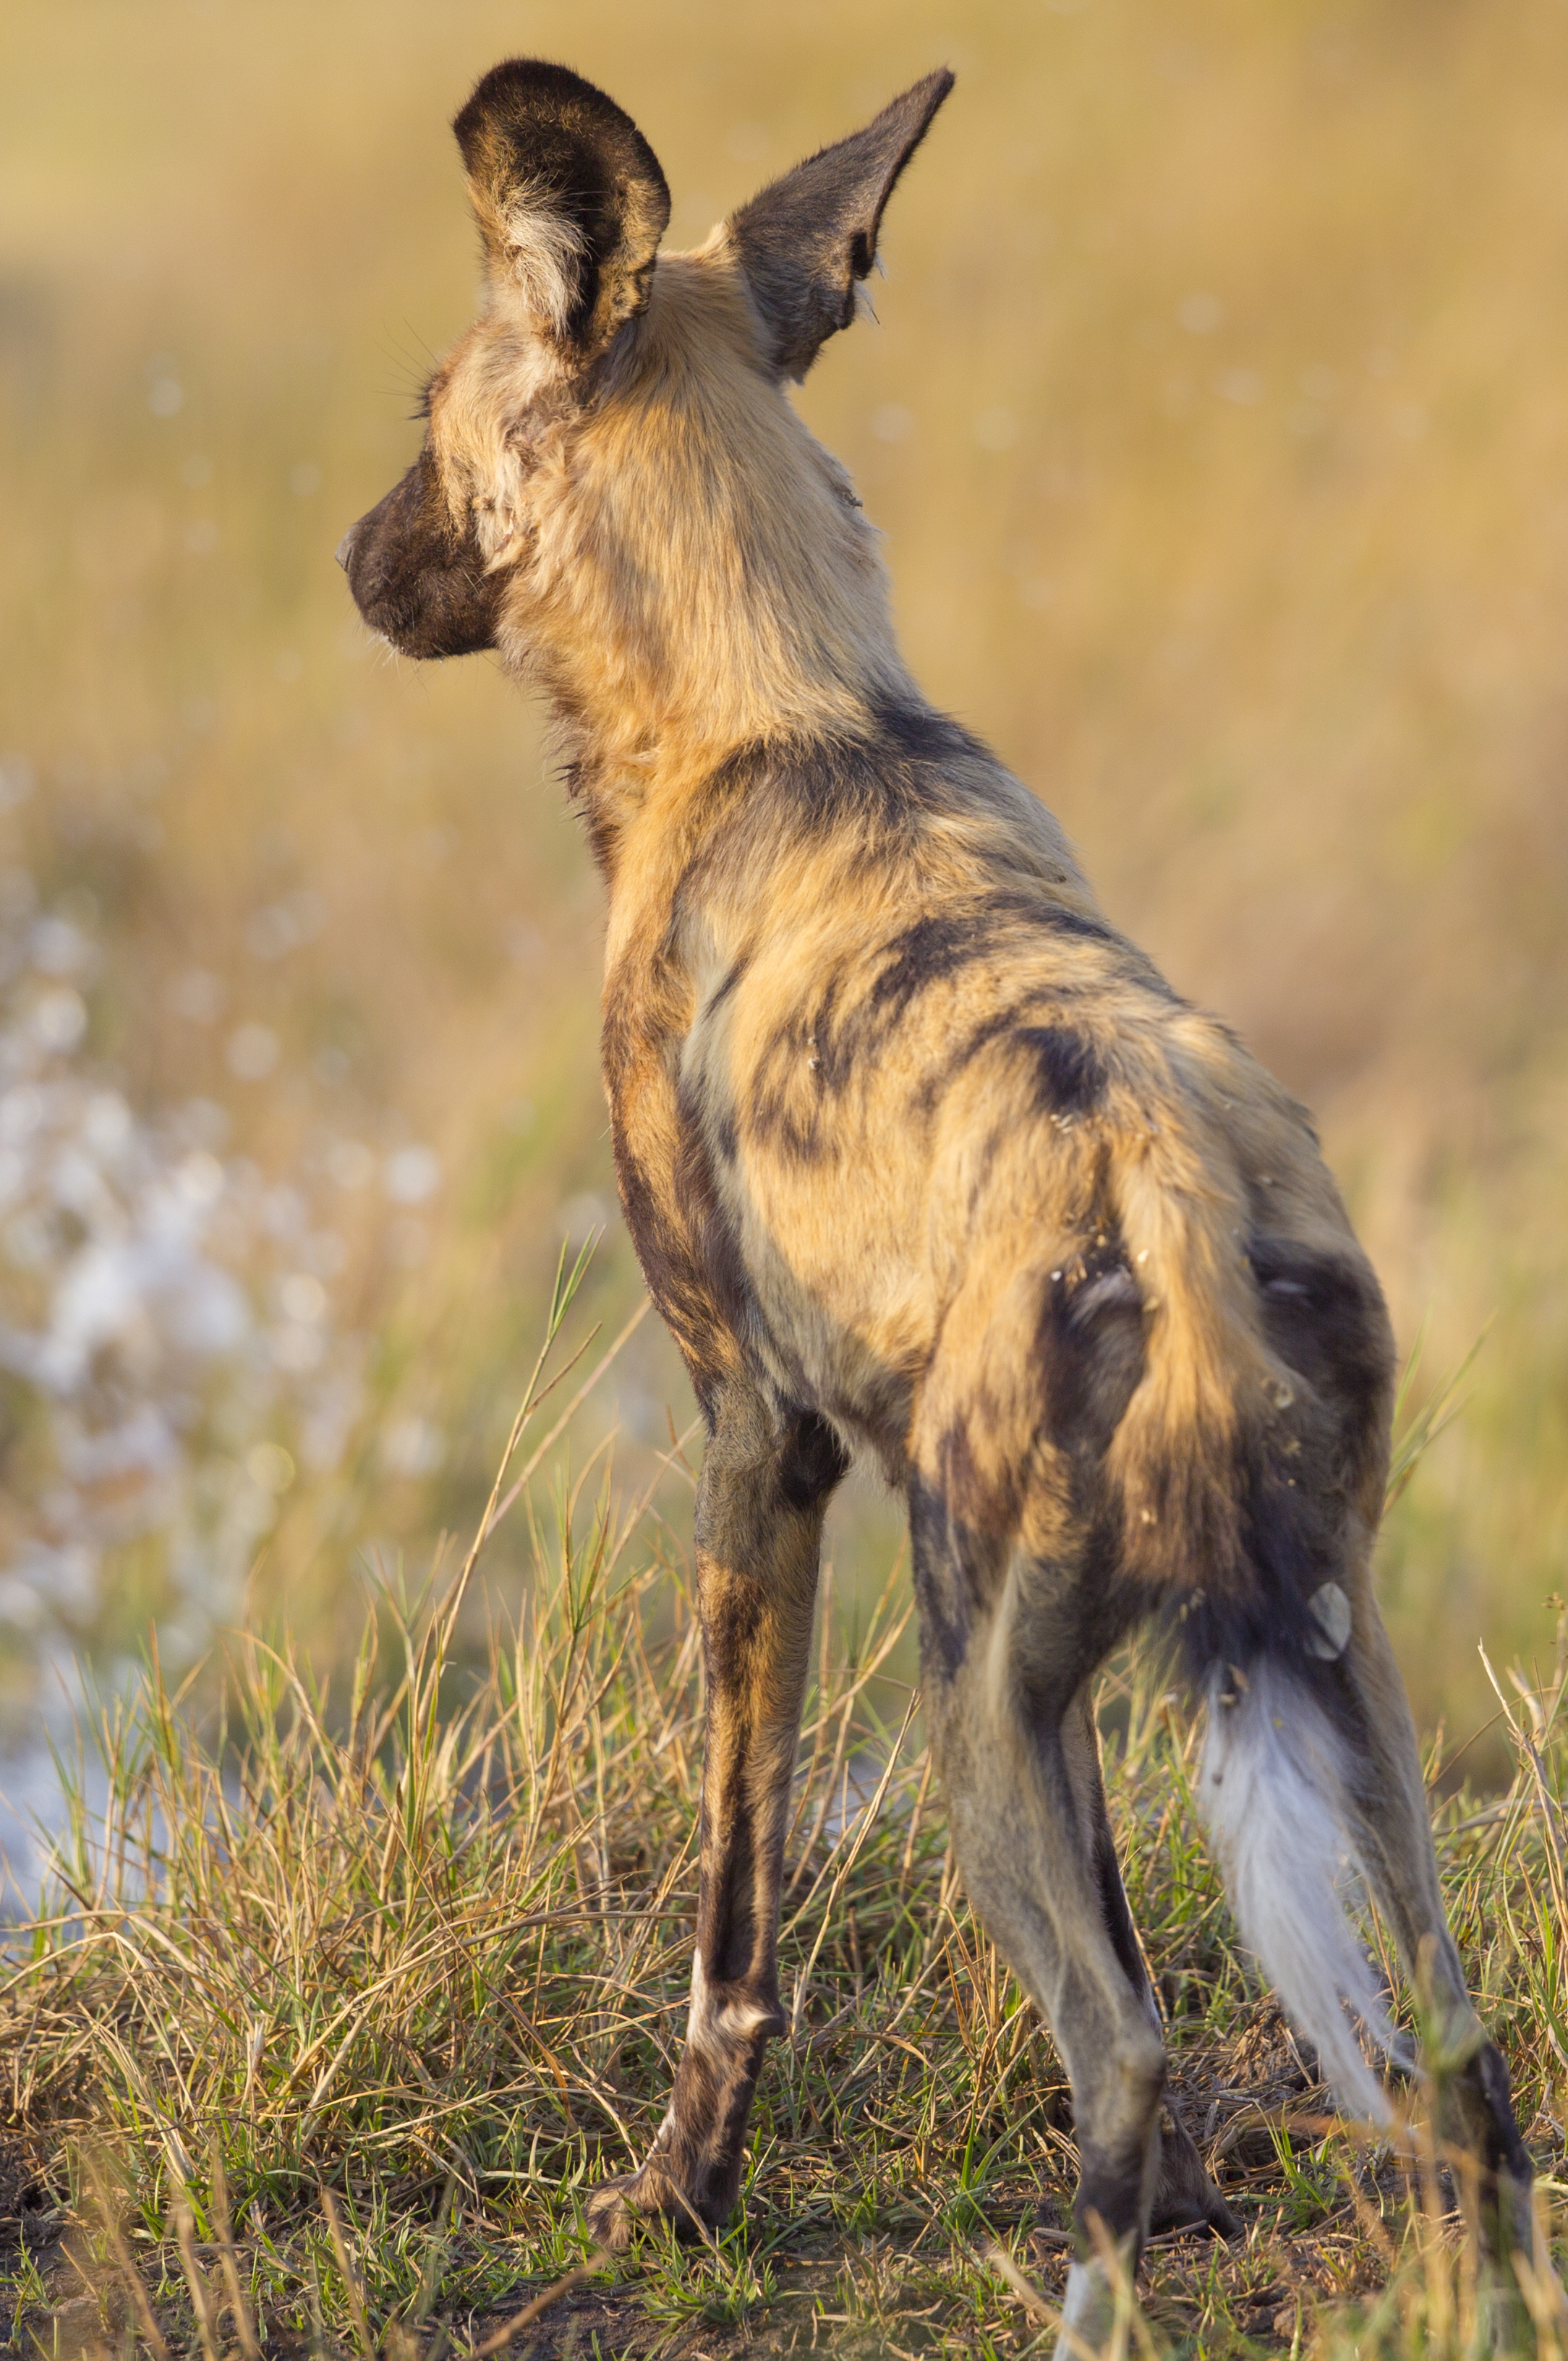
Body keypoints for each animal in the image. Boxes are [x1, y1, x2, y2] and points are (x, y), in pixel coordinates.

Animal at [340, 55, 1530, 2341]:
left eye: (429, 409)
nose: (353, 557)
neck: (774, 713)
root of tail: (1168, 1188)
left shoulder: (763, 1448)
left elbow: (735, 1931)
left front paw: (681, 2198)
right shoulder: (1054, 1659)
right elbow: (1155, 1925)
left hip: (970, 1689)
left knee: (1124, 2046)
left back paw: (1087, 2303)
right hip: (1297, 1661)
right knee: (1452, 2045)